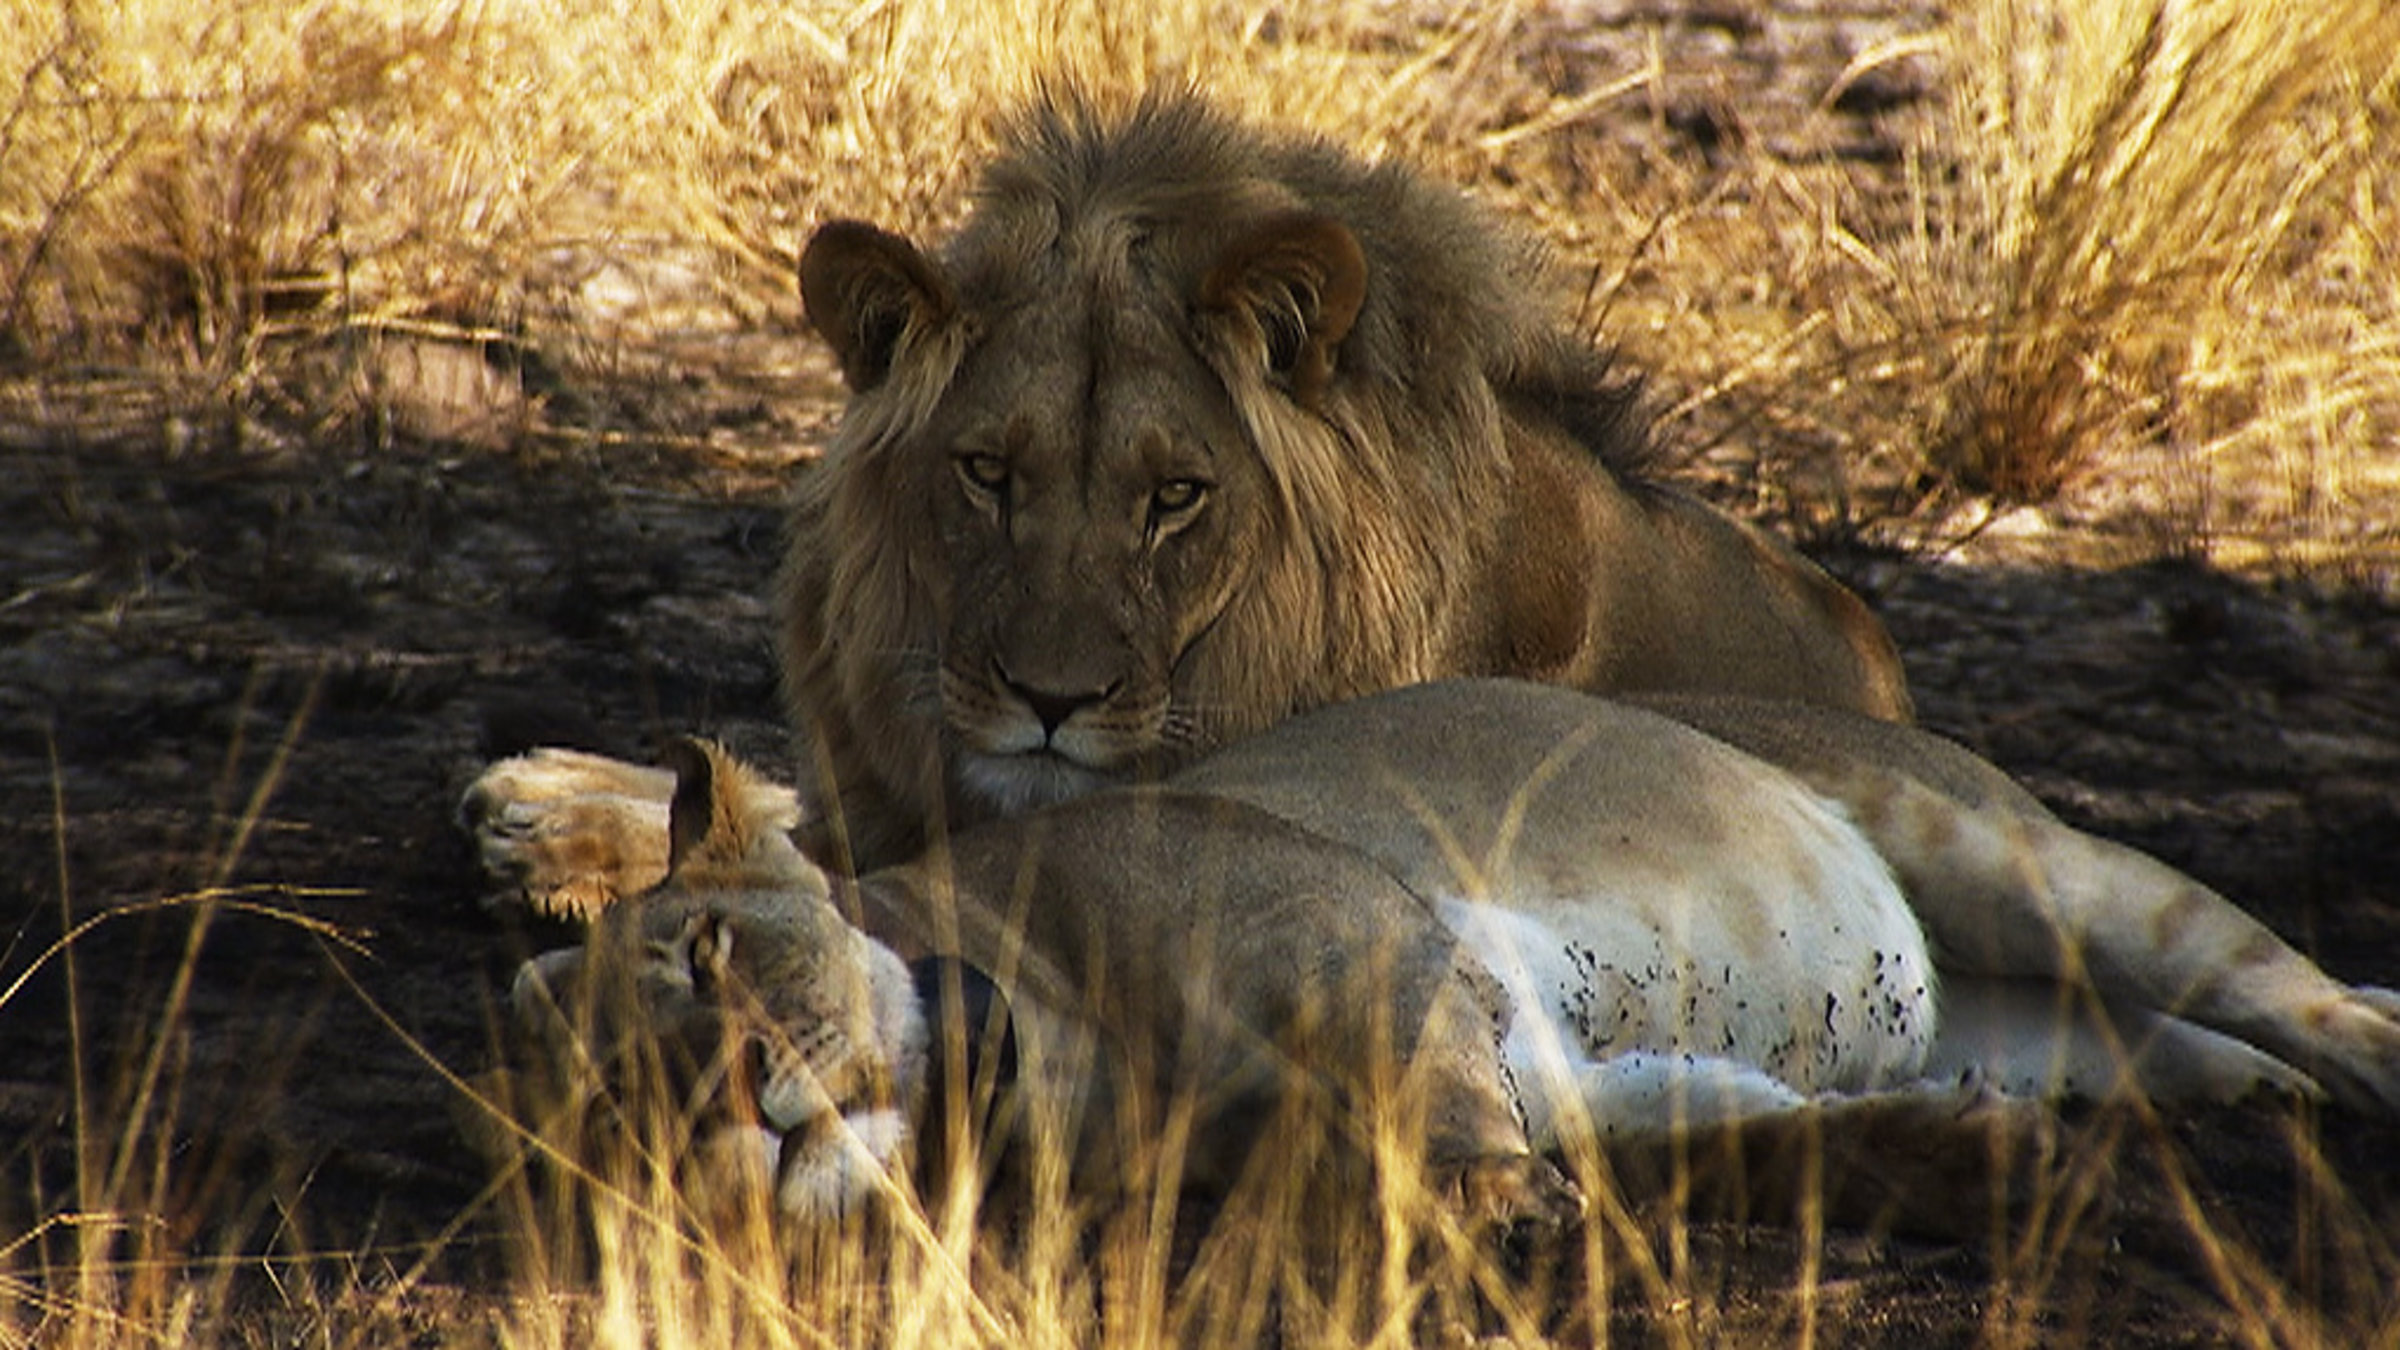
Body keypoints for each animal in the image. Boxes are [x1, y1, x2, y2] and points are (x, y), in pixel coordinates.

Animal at [467, 680, 2400, 1233]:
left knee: (2299, 987)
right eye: (614, 1115)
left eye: (709, 953)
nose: (739, 1098)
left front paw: (1483, 1211)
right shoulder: (1591, 1077)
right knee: (2242, 1052)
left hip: (2025, 863)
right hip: (2091, 1029)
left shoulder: (1361, 936)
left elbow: (1424, 1113)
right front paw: (1957, 1158)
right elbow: (1743, 1146)